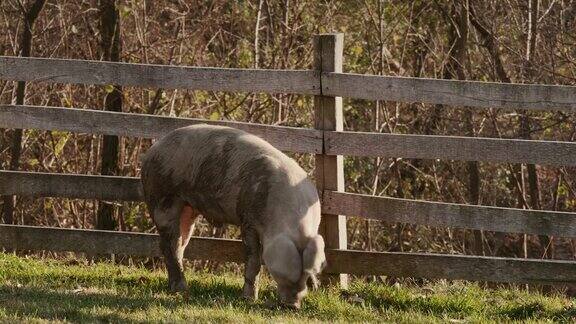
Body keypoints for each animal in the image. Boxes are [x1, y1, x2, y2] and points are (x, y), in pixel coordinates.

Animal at [141, 123, 326, 308]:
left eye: (305, 276)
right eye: (282, 274)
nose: (292, 306)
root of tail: (151, 151)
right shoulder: (248, 219)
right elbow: (254, 259)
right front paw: (249, 298)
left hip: (188, 208)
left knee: (181, 243)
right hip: (161, 198)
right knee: (170, 244)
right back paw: (181, 289)